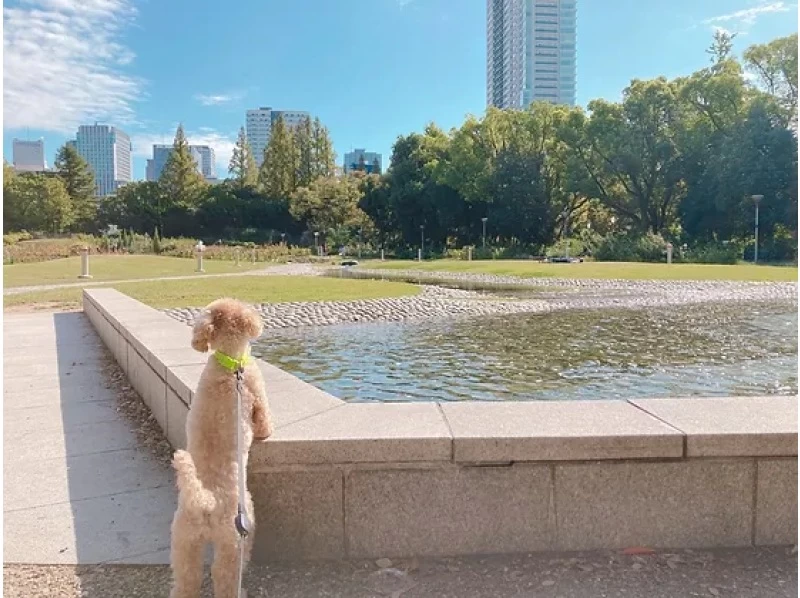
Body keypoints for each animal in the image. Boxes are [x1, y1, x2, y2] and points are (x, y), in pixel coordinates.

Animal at [168, 300, 272, 598]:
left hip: (184, 542)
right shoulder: (256, 394)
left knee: (186, 581)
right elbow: (264, 421)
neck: (230, 364)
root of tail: (205, 501)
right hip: (235, 537)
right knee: (224, 577)